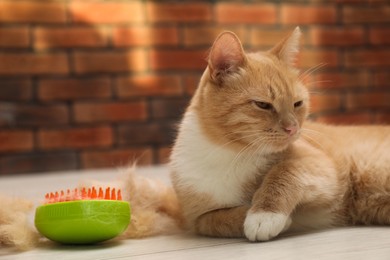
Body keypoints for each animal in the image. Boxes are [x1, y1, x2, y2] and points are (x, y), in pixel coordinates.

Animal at [170, 26, 390, 242]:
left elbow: (283, 172)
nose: (292, 128)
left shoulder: (320, 166)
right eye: (263, 104)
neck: (230, 154)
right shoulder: (197, 219)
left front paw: (264, 214)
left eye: (297, 103)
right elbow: (214, 220)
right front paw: (253, 216)